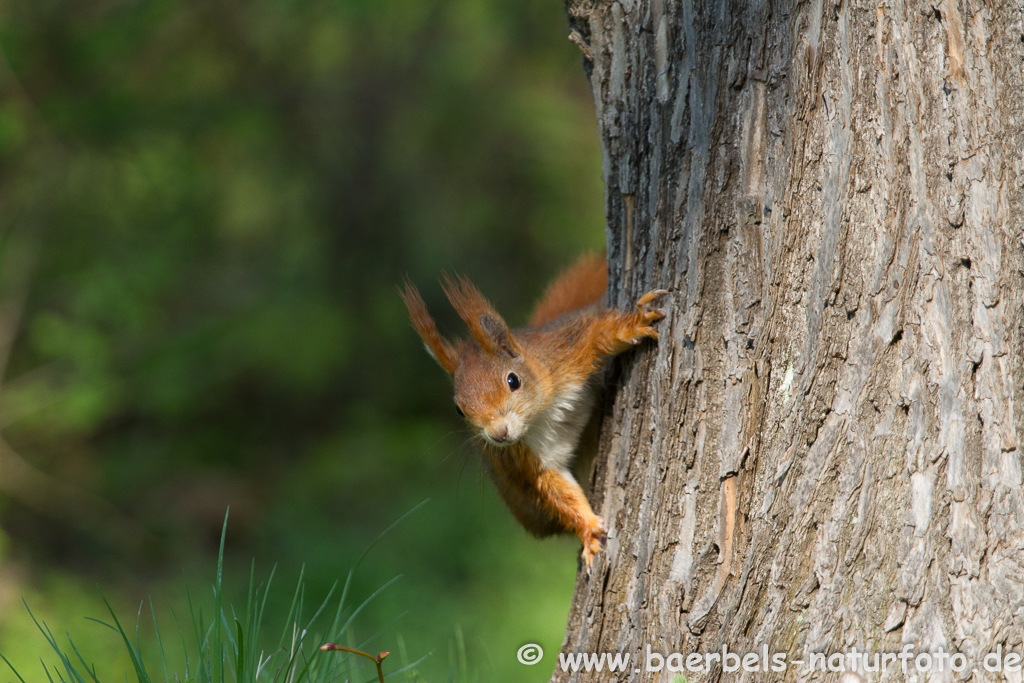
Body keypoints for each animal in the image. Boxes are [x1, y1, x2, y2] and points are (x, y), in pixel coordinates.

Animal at [403, 253, 667, 569]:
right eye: (459, 410)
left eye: (513, 380)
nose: (498, 435)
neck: (542, 415)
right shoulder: (528, 456)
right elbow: (556, 488)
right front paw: (589, 530)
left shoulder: (566, 350)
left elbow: (600, 333)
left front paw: (636, 323)